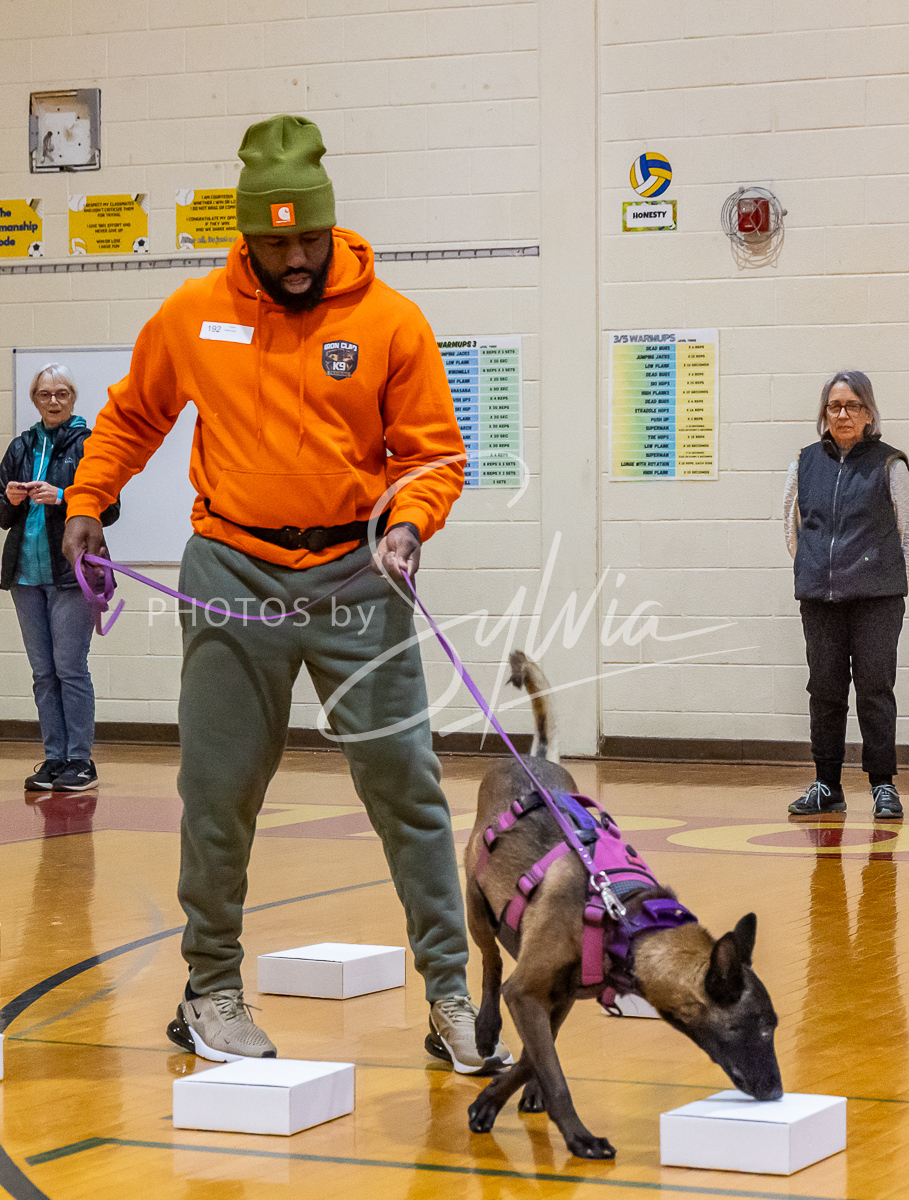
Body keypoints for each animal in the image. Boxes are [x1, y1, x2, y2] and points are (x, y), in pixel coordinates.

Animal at [463, 651, 783, 1160]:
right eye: (759, 1028)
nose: (776, 1092)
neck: (629, 920)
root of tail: (532, 760)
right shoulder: (525, 992)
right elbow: (552, 1070)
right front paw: (579, 1137)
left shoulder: (556, 997)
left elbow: (538, 1058)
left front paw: (492, 1102)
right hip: (476, 903)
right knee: (492, 962)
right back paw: (487, 1026)